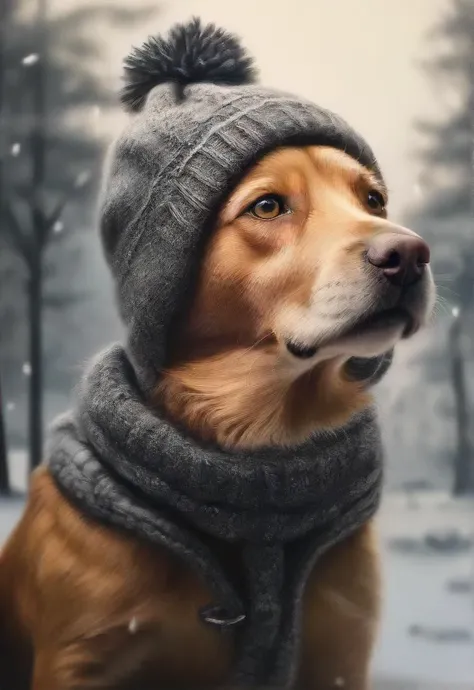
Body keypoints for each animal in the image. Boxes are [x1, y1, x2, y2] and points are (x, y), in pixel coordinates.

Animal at [0, 18, 436, 688]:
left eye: (374, 200)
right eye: (268, 206)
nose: (410, 256)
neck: (257, 454)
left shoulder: (340, 647)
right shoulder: (81, 658)